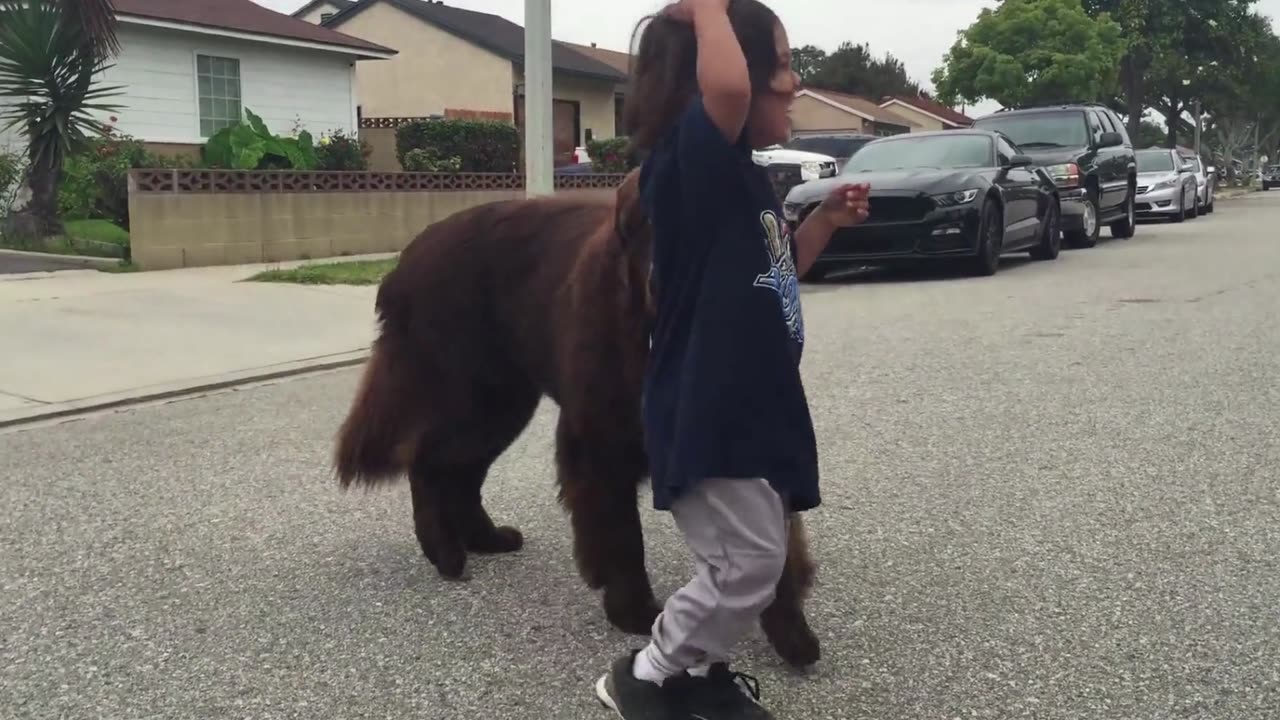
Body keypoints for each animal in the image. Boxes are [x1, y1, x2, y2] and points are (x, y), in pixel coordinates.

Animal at [332, 170, 819, 666]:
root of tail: (404, 262)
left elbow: (777, 545)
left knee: (462, 471)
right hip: (473, 394)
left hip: (503, 404)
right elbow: (622, 535)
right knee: (429, 462)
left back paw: (484, 538)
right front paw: (633, 611)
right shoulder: (599, 439)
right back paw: (444, 552)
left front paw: (790, 630)